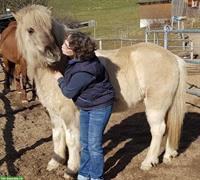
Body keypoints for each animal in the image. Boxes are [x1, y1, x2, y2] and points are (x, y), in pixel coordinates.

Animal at [13, 4, 186, 179]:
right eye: (30, 30)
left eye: (50, 27)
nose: (53, 54)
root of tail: (173, 57)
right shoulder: (54, 113)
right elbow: (57, 136)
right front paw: (55, 162)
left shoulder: (69, 113)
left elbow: (71, 140)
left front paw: (71, 169)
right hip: (167, 105)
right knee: (170, 127)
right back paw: (168, 155)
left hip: (155, 106)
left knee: (158, 130)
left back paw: (148, 162)